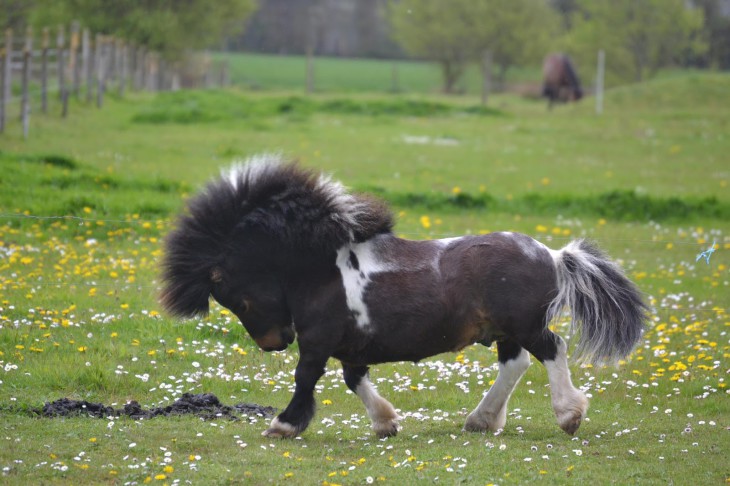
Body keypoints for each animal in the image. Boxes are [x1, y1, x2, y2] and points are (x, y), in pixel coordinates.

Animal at [159, 157, 644, 440]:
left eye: (237, 299)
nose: (274, 343)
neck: (319, 268)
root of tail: (554, 255)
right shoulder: (349, 345)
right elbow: (353, 379)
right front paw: (386, 422)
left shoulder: (317, 340)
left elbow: (306, 377)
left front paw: (284, 424)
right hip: (506, 330)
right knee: (516, 364)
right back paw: (481, 421)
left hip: (525, 324)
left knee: (552, 350)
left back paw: (568, 415)